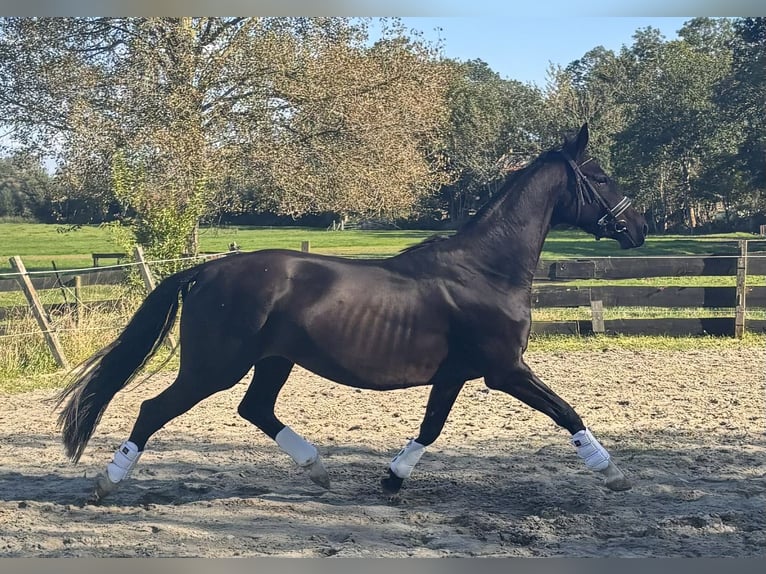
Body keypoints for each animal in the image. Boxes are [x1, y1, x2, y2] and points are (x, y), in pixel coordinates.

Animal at [57, 124, 652, 502]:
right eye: (600, 176)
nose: (638, 228)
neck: (484, 269)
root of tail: (204, 271)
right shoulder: (504, 371)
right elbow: (566, 412)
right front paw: (614, 474)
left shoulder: (456, 374)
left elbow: (430, 428)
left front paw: (392, 479)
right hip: (214, 367)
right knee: (154, 409)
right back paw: (108, 482)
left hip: (273, 361)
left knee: (255, 409)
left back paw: (318, 470)